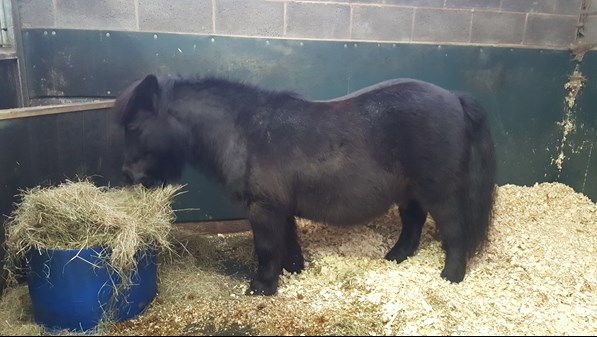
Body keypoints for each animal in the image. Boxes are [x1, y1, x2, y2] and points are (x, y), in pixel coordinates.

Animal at [114, 74, 496, 294]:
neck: (243, 131)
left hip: (440, 192)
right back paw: (396, 257)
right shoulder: (279, 207)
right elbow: (288, 243)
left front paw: (262, 286)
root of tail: (454, 98)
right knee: (413, 223)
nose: (128, 176)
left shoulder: (263, 207)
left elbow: (267, 247)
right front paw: (292, 271)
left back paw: (451, 276)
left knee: (455, 231)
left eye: (133, 127)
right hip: (410, 191)